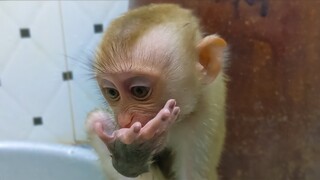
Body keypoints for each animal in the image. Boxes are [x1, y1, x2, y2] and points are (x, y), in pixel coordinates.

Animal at [86, 3, 229, 180]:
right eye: (113, 93)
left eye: (139, 90)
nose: (124, 120)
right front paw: (131, 155)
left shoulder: (206, 112)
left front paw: (133, 152)